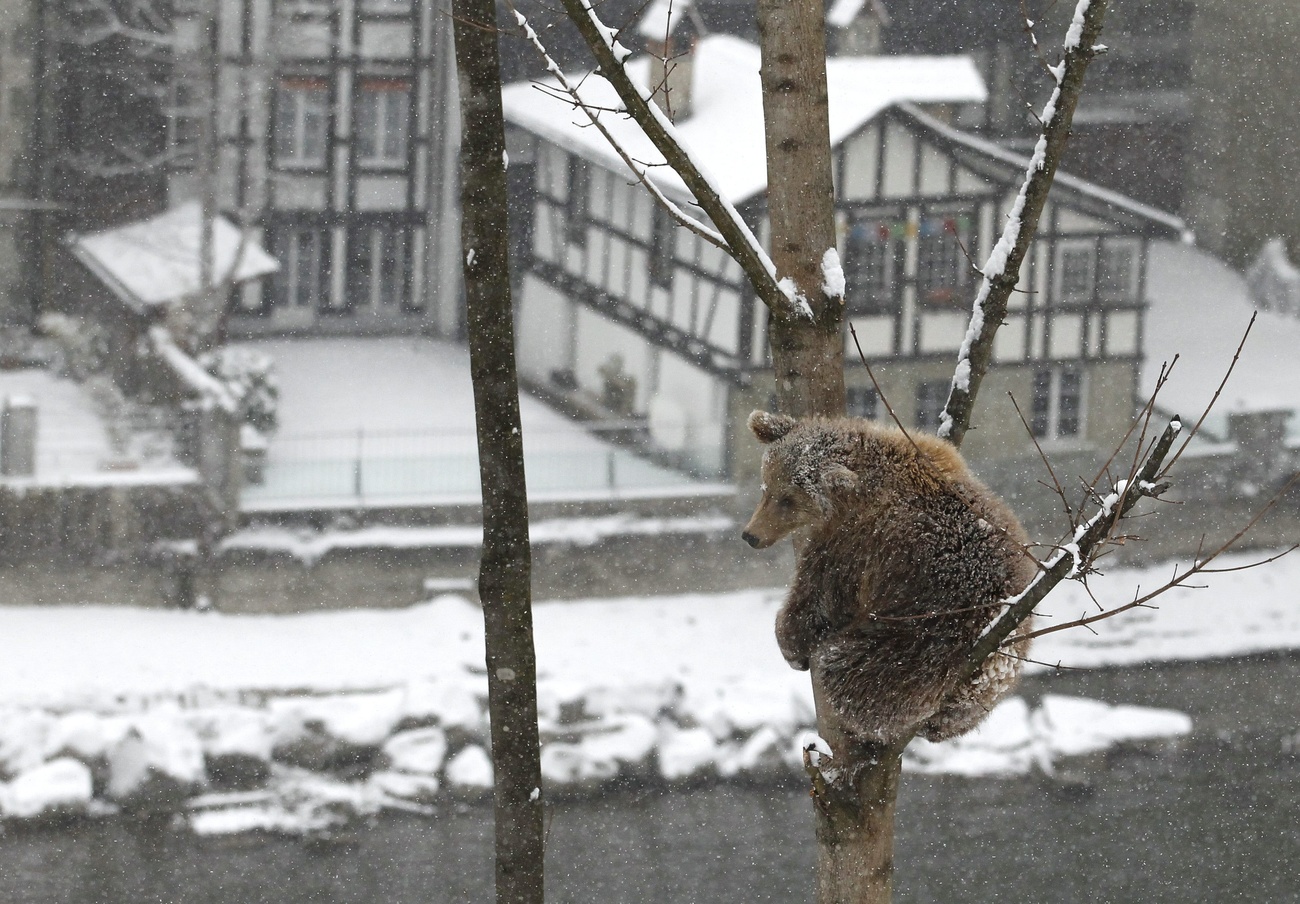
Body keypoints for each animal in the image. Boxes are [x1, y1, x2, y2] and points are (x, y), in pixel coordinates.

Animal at [743, 411, 1034, 744]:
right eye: (766, 488)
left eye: (788, 499)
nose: (751, 535)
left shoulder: (859, 544)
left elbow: (819, 594)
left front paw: (790, 641)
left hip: (922, 643)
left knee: (851, 675)